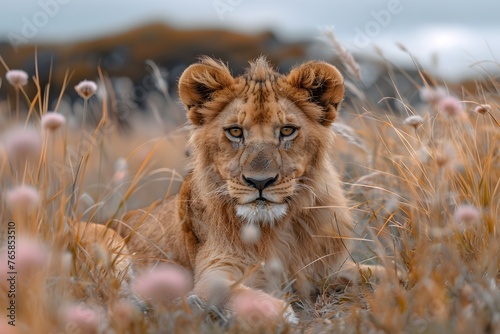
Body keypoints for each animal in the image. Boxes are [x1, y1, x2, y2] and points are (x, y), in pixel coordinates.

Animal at [114, 56, 372, 324]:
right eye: (235, 131)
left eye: (287, 130)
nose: (260, 182)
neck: (278, 229)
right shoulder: (210, 274)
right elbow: (234, 293)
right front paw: (279, 313)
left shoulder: (329, 269)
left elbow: (376, 272)